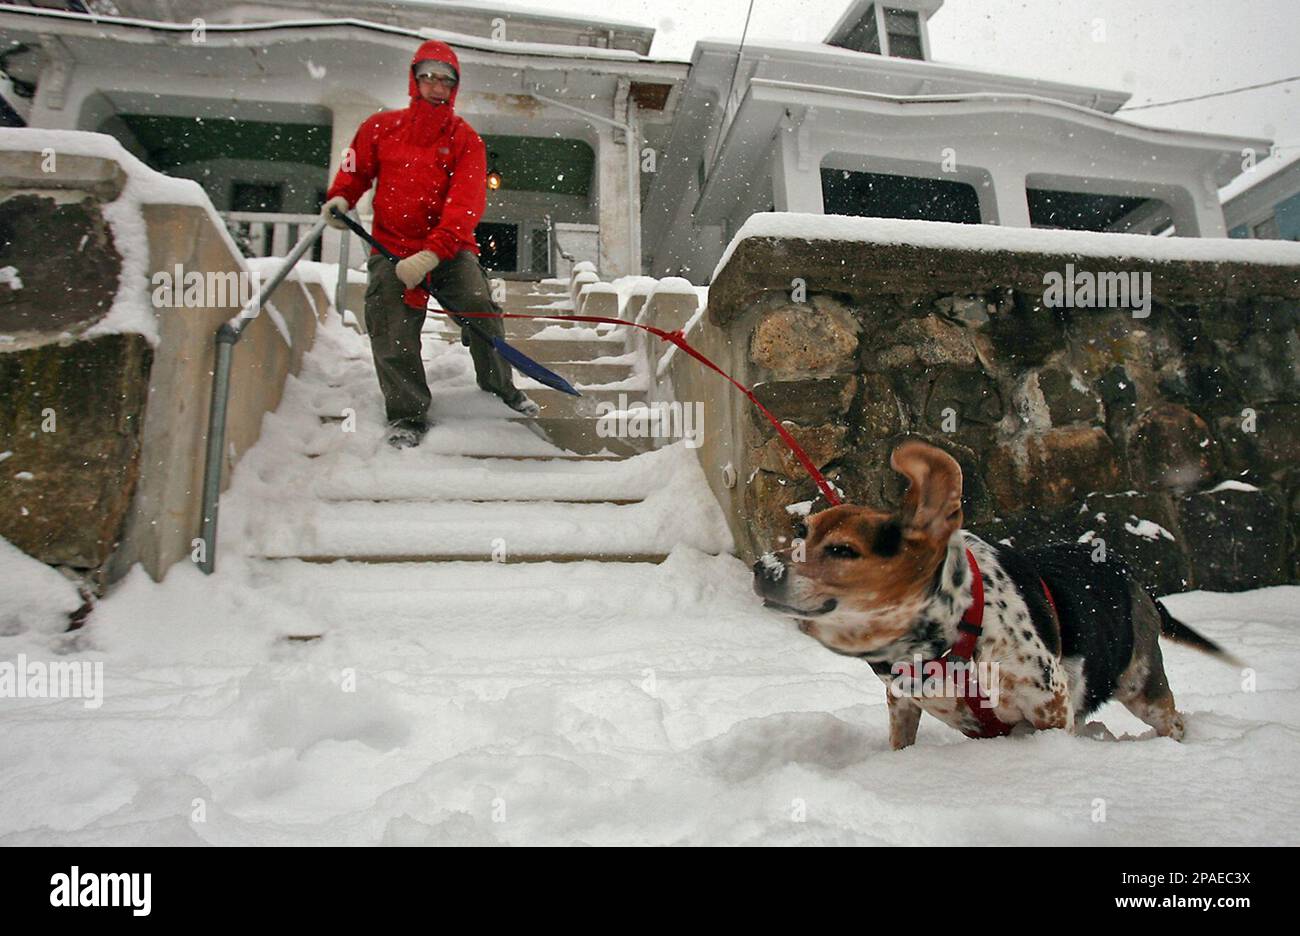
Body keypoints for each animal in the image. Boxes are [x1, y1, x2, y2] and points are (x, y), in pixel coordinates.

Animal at [754, 439, 1237, 754]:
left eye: (842, 551)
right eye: (802, 532)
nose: (763, 568)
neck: (952, 633)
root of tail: (1129, 572)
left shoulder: (1050, 704)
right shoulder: (902, 701)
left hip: (1141, 683)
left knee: (1171, 720)